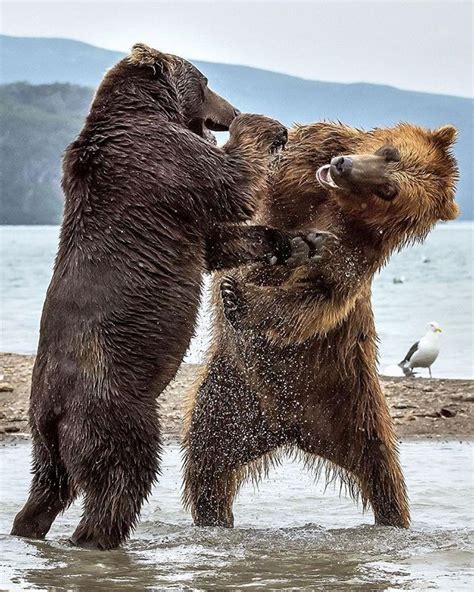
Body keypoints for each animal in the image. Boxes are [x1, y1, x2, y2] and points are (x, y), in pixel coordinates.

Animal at [12, 45, 330, 552]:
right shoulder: (167, 162)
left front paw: (302, 242)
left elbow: (220, 240)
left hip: (45, 438)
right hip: (113, 406)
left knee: (49, 485)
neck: (143, 109)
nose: (230, 111)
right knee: (123, 474)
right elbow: (233, 182)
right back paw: (98, 537)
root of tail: (54, 411)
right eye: (207, 82)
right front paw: (264, 126)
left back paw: (29, 528)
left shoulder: (181, 204)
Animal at [182, 119, 460, 528]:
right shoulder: (299, 170)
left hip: (353, 406)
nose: (343, 166)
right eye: (389, 152)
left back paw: (394, 517)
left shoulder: (354, 253)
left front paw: (240, 295)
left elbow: (317, 296)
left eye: (388, 191)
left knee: (383, 474)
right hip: (230, 400)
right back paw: (213, 516)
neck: (338, 205)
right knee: (209, 463)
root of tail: (289, 428)